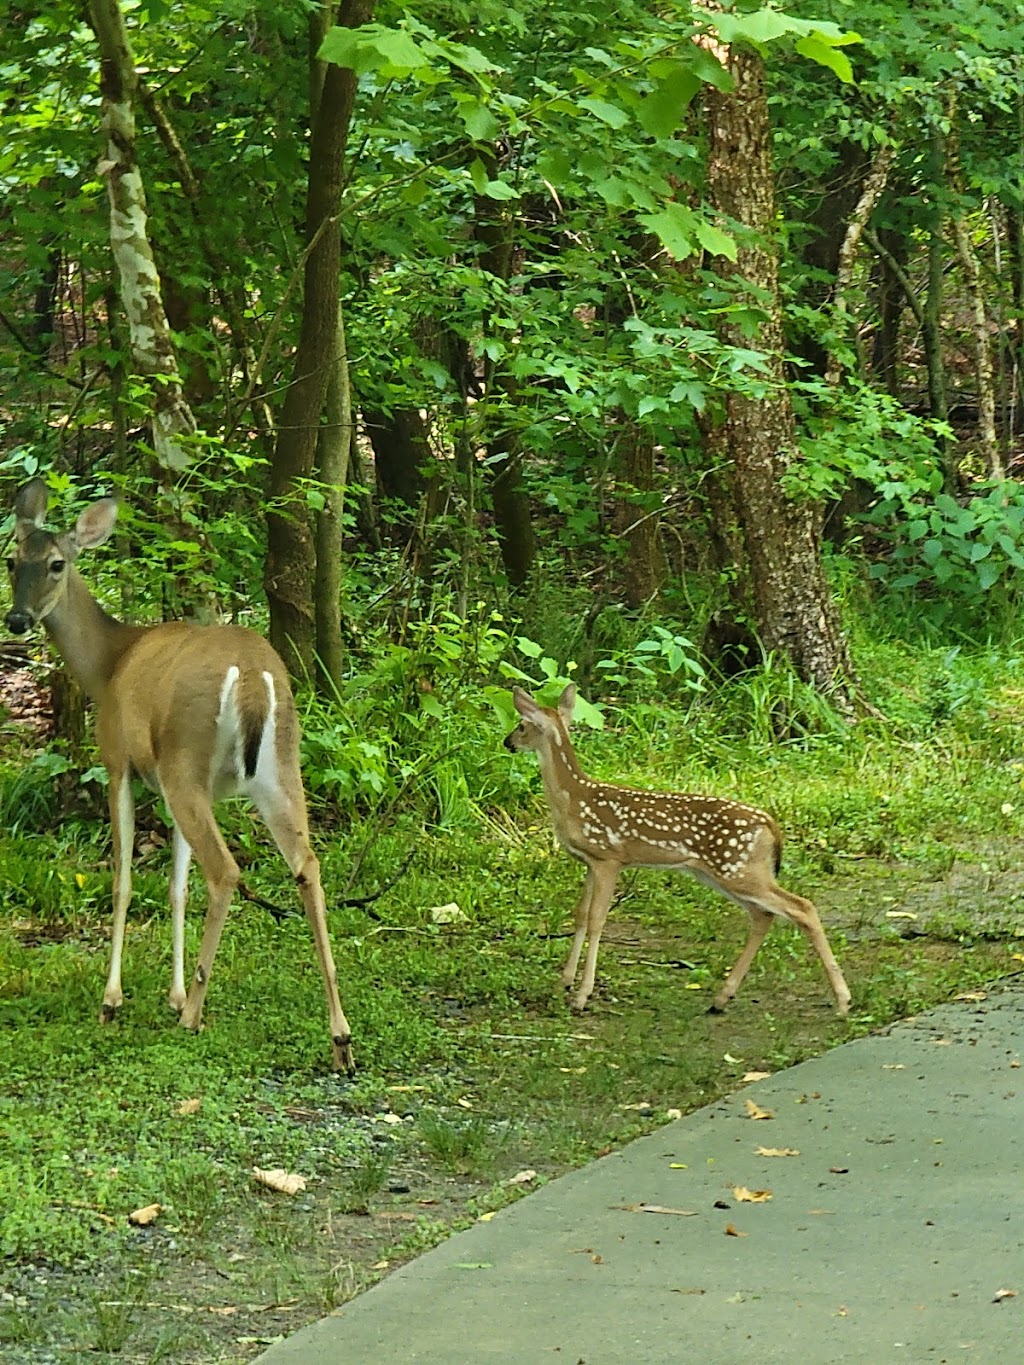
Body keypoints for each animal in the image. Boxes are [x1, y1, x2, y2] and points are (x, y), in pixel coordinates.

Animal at [6, 480, 357, 1075]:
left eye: (56, 563)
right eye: (11, 560)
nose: (17, 621)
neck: (110, 664)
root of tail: (254, 679)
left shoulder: (120, 761)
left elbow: (124, 881)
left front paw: (114, 1000)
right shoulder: (176, 789)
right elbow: (175, 885)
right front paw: (169, 994)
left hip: (185, 762)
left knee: (226, 871)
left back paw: (195, 1012)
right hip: (278, 769)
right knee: (307, 866)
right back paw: (340, 1036)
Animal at [505, 687, 851, 1021]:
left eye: (522, 725)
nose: (508, 742)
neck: (573, 798)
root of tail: (770, 824)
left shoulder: (609, 858)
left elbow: (596, 920)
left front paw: (581, 996)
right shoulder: (590, 862)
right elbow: (579, 915)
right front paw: (563, 982)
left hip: (737, 868)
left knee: (802, 907)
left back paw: (843, 1001)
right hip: (725, 871)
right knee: (763, 915)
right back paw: (721, 999)